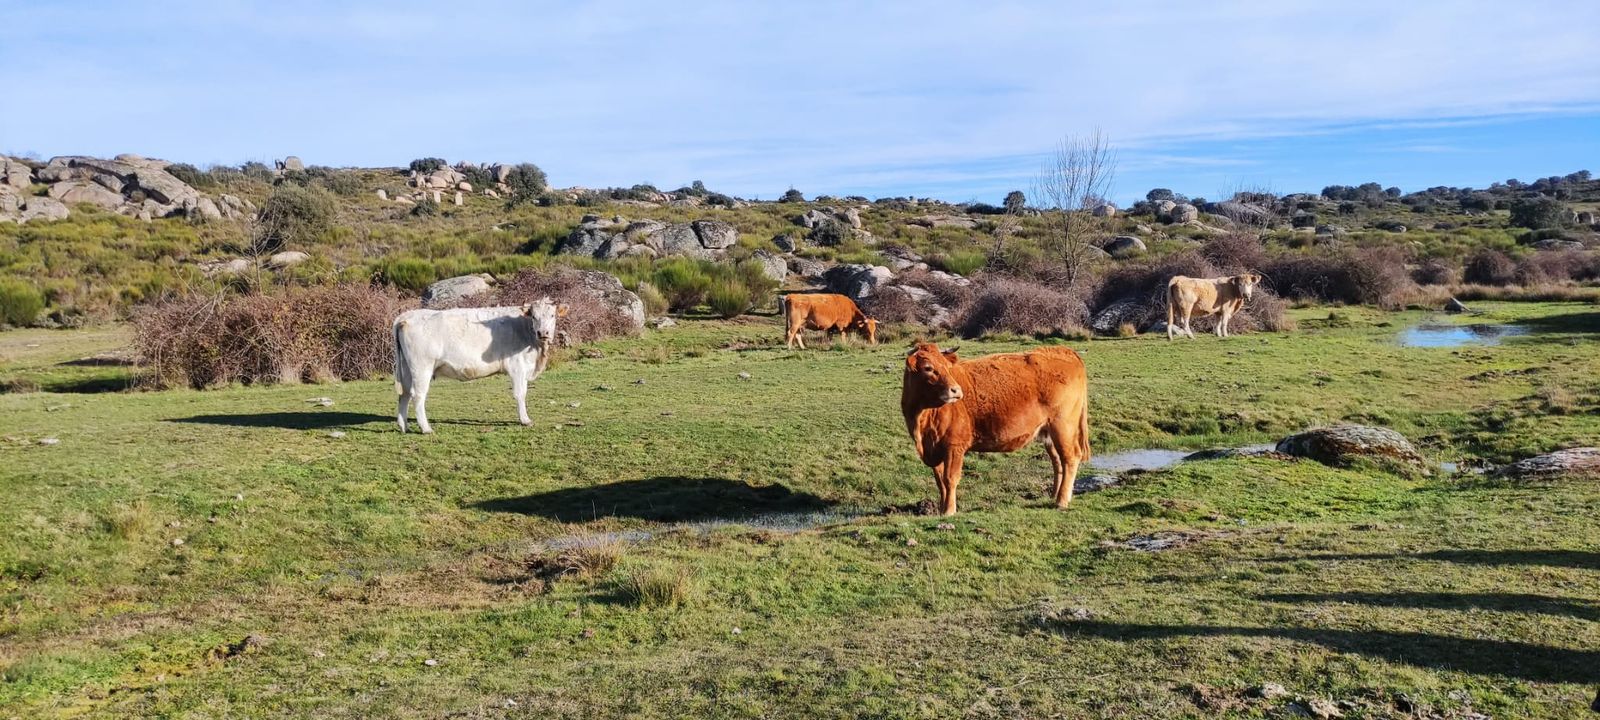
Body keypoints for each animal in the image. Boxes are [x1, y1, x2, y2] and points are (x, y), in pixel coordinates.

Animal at [392, 299, 567, 433]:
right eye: (534, 316)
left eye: (552, 315)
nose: (543, 332)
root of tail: (406, 316)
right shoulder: (517, 367)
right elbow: (520, 394)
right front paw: (525, 420)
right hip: (422, 366)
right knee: (417, 395)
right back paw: (426, 428)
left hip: (407, 368)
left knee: (404, 394)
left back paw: (404, 426)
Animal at [901, 342, 1090, 516]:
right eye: (928, 368)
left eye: (947, 367)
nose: (956, 391)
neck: (922, 419)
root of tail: (1063, 350)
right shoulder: (934, 449)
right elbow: (940, 481)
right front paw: (941, 509)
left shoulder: (954, 446)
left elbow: (950, 479)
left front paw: (949, 510)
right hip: (1048, 432)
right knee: (1057, 461)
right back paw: (1054, 495)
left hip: (1063, 427)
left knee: (1070, 458)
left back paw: (1061, 501)